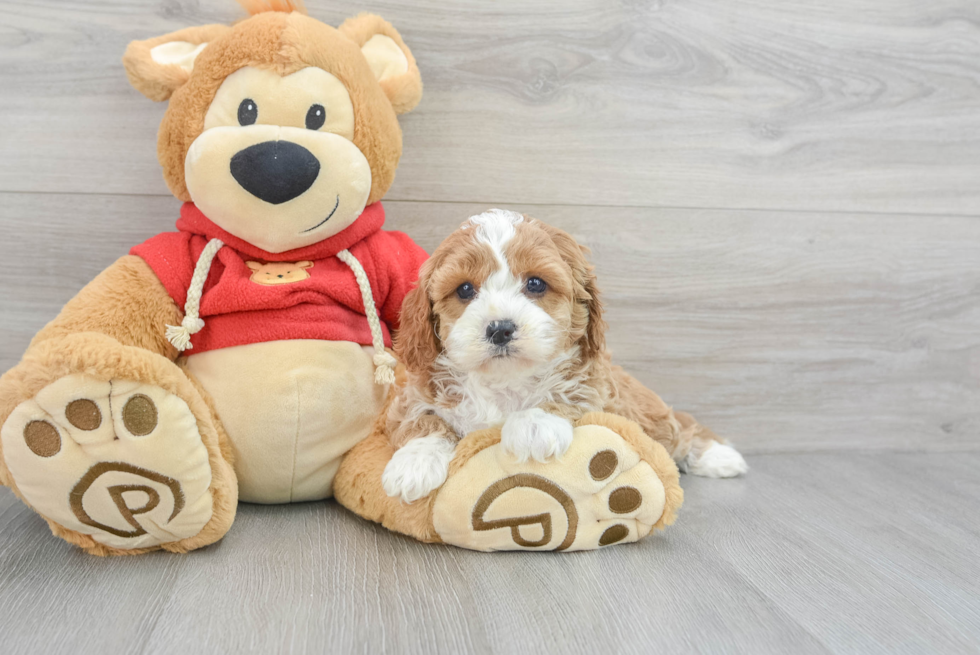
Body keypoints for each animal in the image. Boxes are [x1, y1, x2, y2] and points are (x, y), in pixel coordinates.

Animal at [382, 210, 752, 502]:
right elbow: (422, 420)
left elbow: (568, 393)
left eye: (535, 284)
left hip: (645, 409)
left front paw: (533, 425)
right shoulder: (413, 395)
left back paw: (718, 456)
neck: (504, 381)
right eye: (464, 289)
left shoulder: (596, 386)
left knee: (679, 428)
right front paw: (413, 465)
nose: (500, 329)